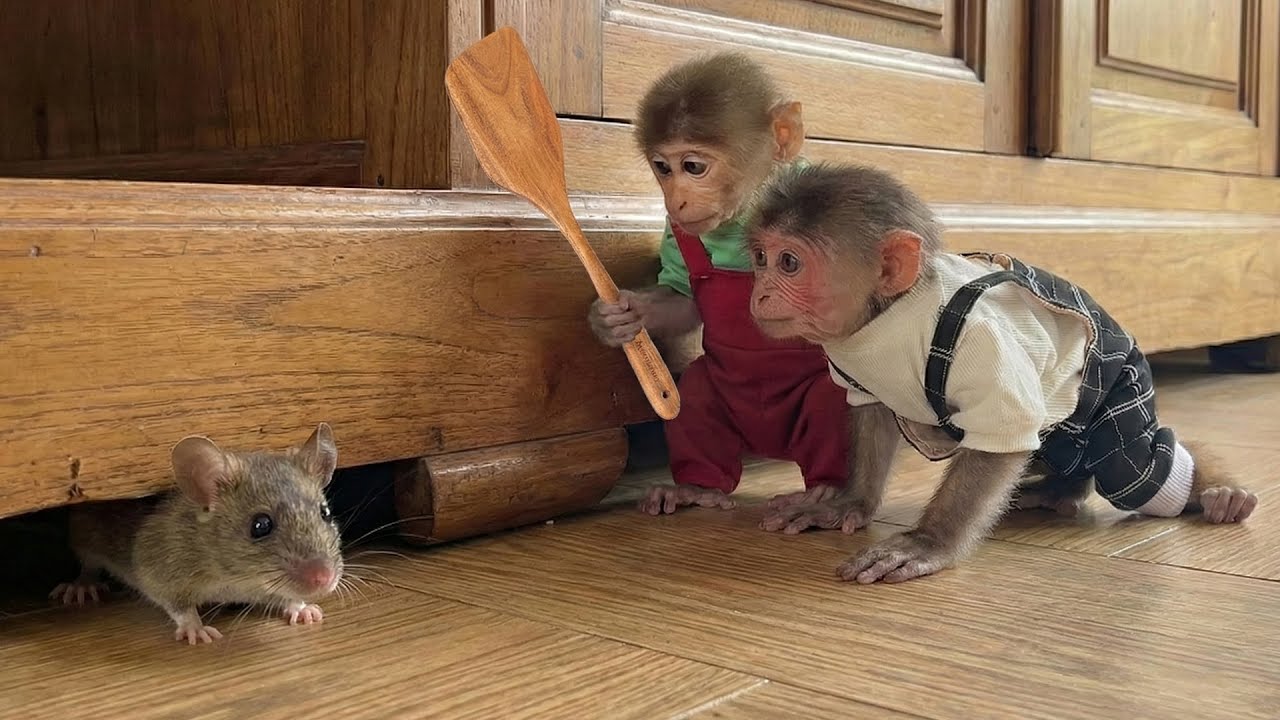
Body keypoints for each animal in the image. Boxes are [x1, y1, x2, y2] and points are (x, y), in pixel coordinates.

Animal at [587, 53, 854, 518]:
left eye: (693, 167)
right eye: (663, 168)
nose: (675, 197)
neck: (745, 213)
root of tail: (769, 445)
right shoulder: (677, 230)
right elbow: (681, 300)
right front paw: (615, 317)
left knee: (829, 398)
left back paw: (824, 493)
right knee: (693, 392)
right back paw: (698, 487)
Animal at [744, 161, 1259, 584]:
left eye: (789, 263)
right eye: (760, 258)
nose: (760, 293)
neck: (891, 317)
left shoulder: (983, 344)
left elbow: (1002, 435)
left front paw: (930, 542)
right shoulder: (853, 357)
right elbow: (871, 416)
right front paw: (849, 502)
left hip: (1119, 382)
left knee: (1137, 469)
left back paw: (1216, 489)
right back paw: (1060, 488)